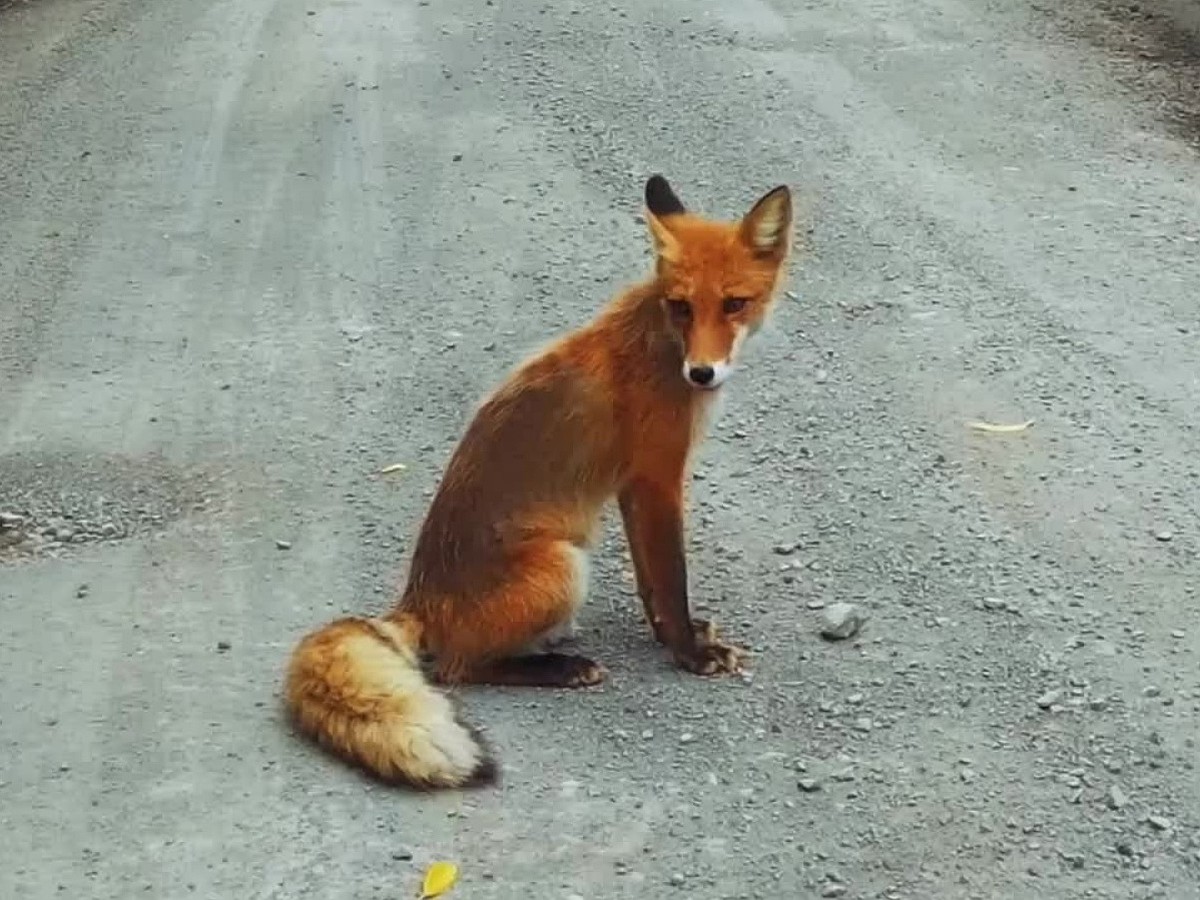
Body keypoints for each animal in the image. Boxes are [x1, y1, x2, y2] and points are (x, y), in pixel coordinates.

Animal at [280, 174, 796, 787]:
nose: (702, 372)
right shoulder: (657, 478)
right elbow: (671, 580)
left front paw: (675, 637)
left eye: (735, 304)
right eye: (681, 307)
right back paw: (561, 667)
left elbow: (651, 585)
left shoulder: (632, 489)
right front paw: (689, 654)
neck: (658, 346)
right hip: (563, 565)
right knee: (457, 666)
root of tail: (419, 602)